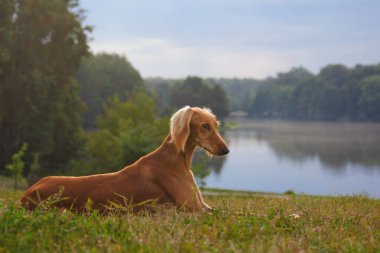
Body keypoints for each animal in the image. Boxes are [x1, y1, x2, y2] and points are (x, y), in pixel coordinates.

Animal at [20, 105, 229, 212]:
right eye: (205, 126)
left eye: (215, 125)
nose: (226, 150)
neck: (176, 159)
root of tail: (25, 194)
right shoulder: (193, 208)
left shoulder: (203, 205)